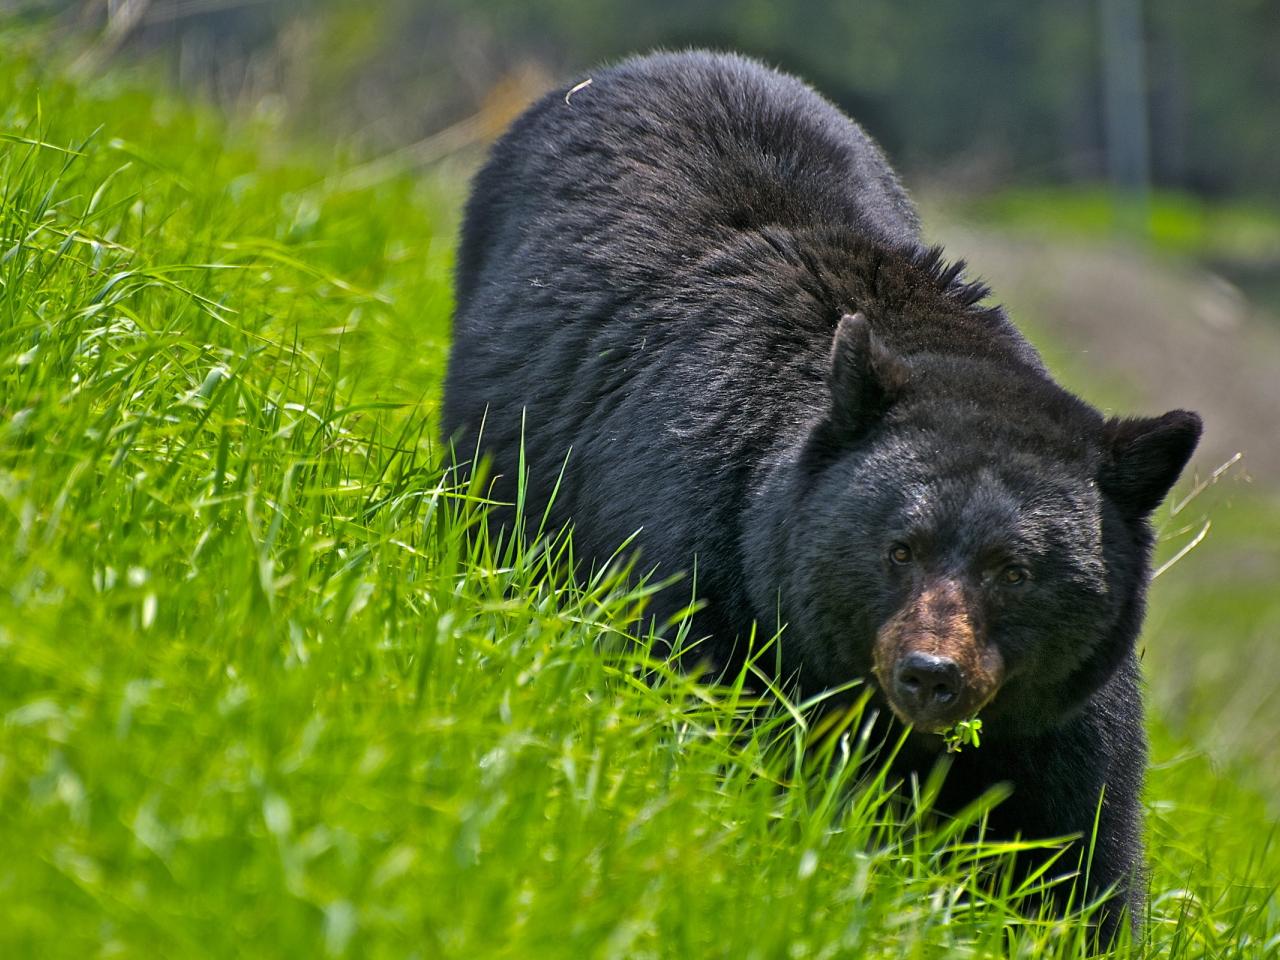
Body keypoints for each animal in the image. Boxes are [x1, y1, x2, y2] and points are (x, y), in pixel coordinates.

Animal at [445, 50, 1203, 942]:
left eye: (1016, 572)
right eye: (898, 549)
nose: (931, 675)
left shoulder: (1059, 718)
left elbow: (1077, 850)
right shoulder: (703, 570)